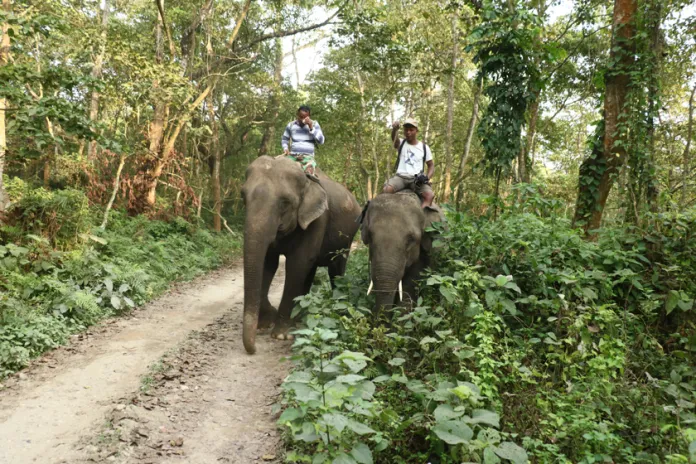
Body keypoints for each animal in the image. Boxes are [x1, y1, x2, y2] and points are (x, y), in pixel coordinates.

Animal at [242, 156, 362, 356]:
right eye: (243, 196)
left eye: (285, 202)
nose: (253, 350)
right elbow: (268, 263)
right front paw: (265, 323)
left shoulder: (318, 220)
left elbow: (297, 264)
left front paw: (281, 334)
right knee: (311, 270)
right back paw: (300, 315)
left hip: (347, 237)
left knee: (336, 269)